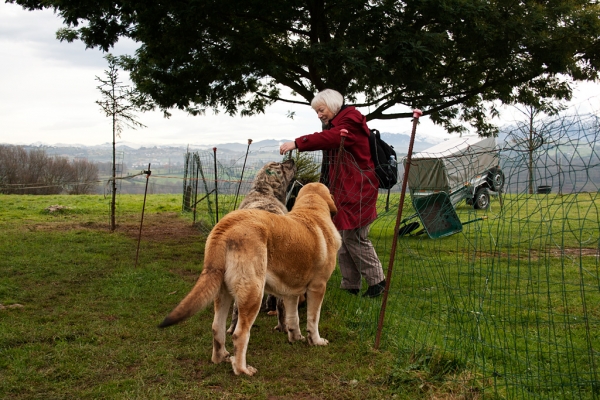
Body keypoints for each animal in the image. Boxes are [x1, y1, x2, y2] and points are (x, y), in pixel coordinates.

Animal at [159, 183, 342, 376]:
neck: (311, 209)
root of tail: (225, 225)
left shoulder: (291, 292)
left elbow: (293, 318)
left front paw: (296, 337)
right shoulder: (318, 287)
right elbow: (313, 319)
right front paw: (316, 341)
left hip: (223, 293)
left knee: (217, 327)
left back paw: (221, 357)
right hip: (254, 293)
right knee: (239, 334)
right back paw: (243, 369)